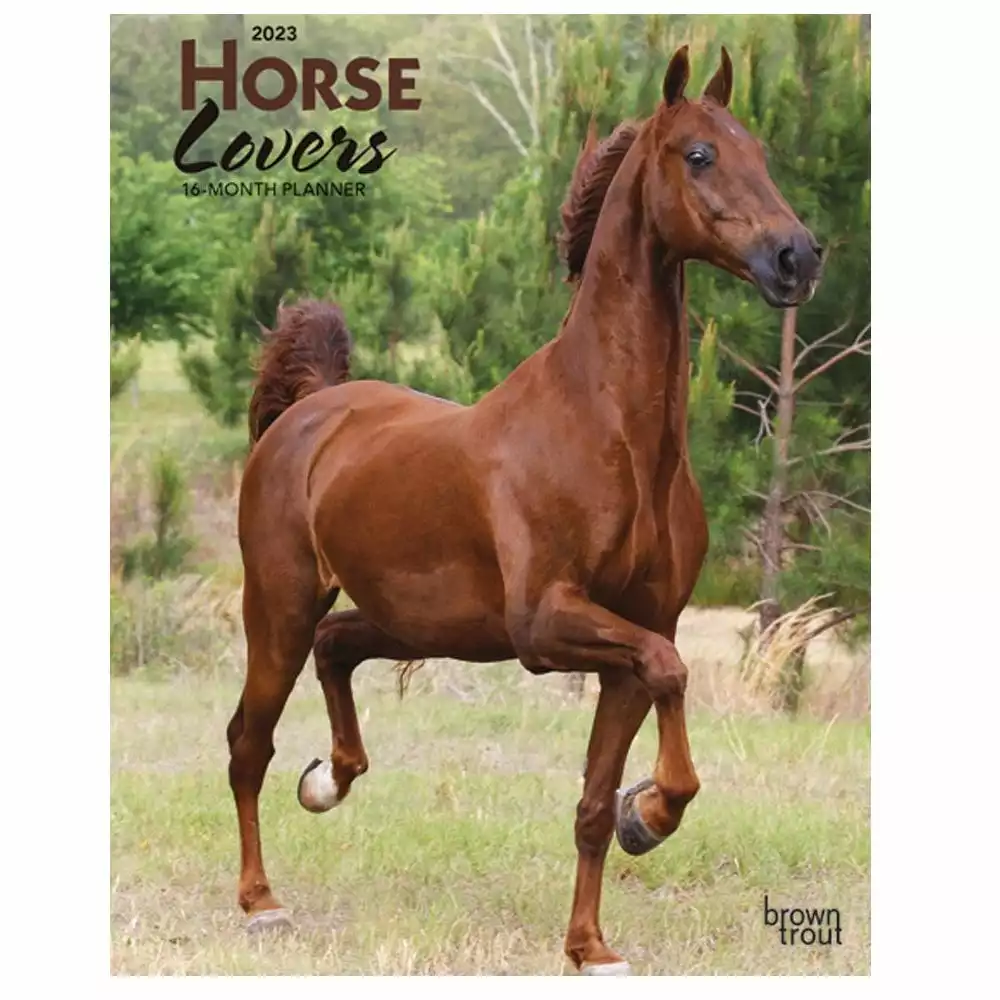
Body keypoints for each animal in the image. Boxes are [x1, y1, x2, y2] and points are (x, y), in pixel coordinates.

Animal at [227, 45, 824, 974]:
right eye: (699, 154)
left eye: (758, 149)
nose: (797, 256)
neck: (609, 431)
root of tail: (310, 411)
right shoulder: (550, 626)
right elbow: (673, 673)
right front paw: (651, 814)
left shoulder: (630, 636)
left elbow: (595, 801)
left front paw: (593, 937)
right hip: (281, 607)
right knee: (249, 742)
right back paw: (261, 901)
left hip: (415, 622)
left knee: (337, 650)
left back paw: (328, 780)